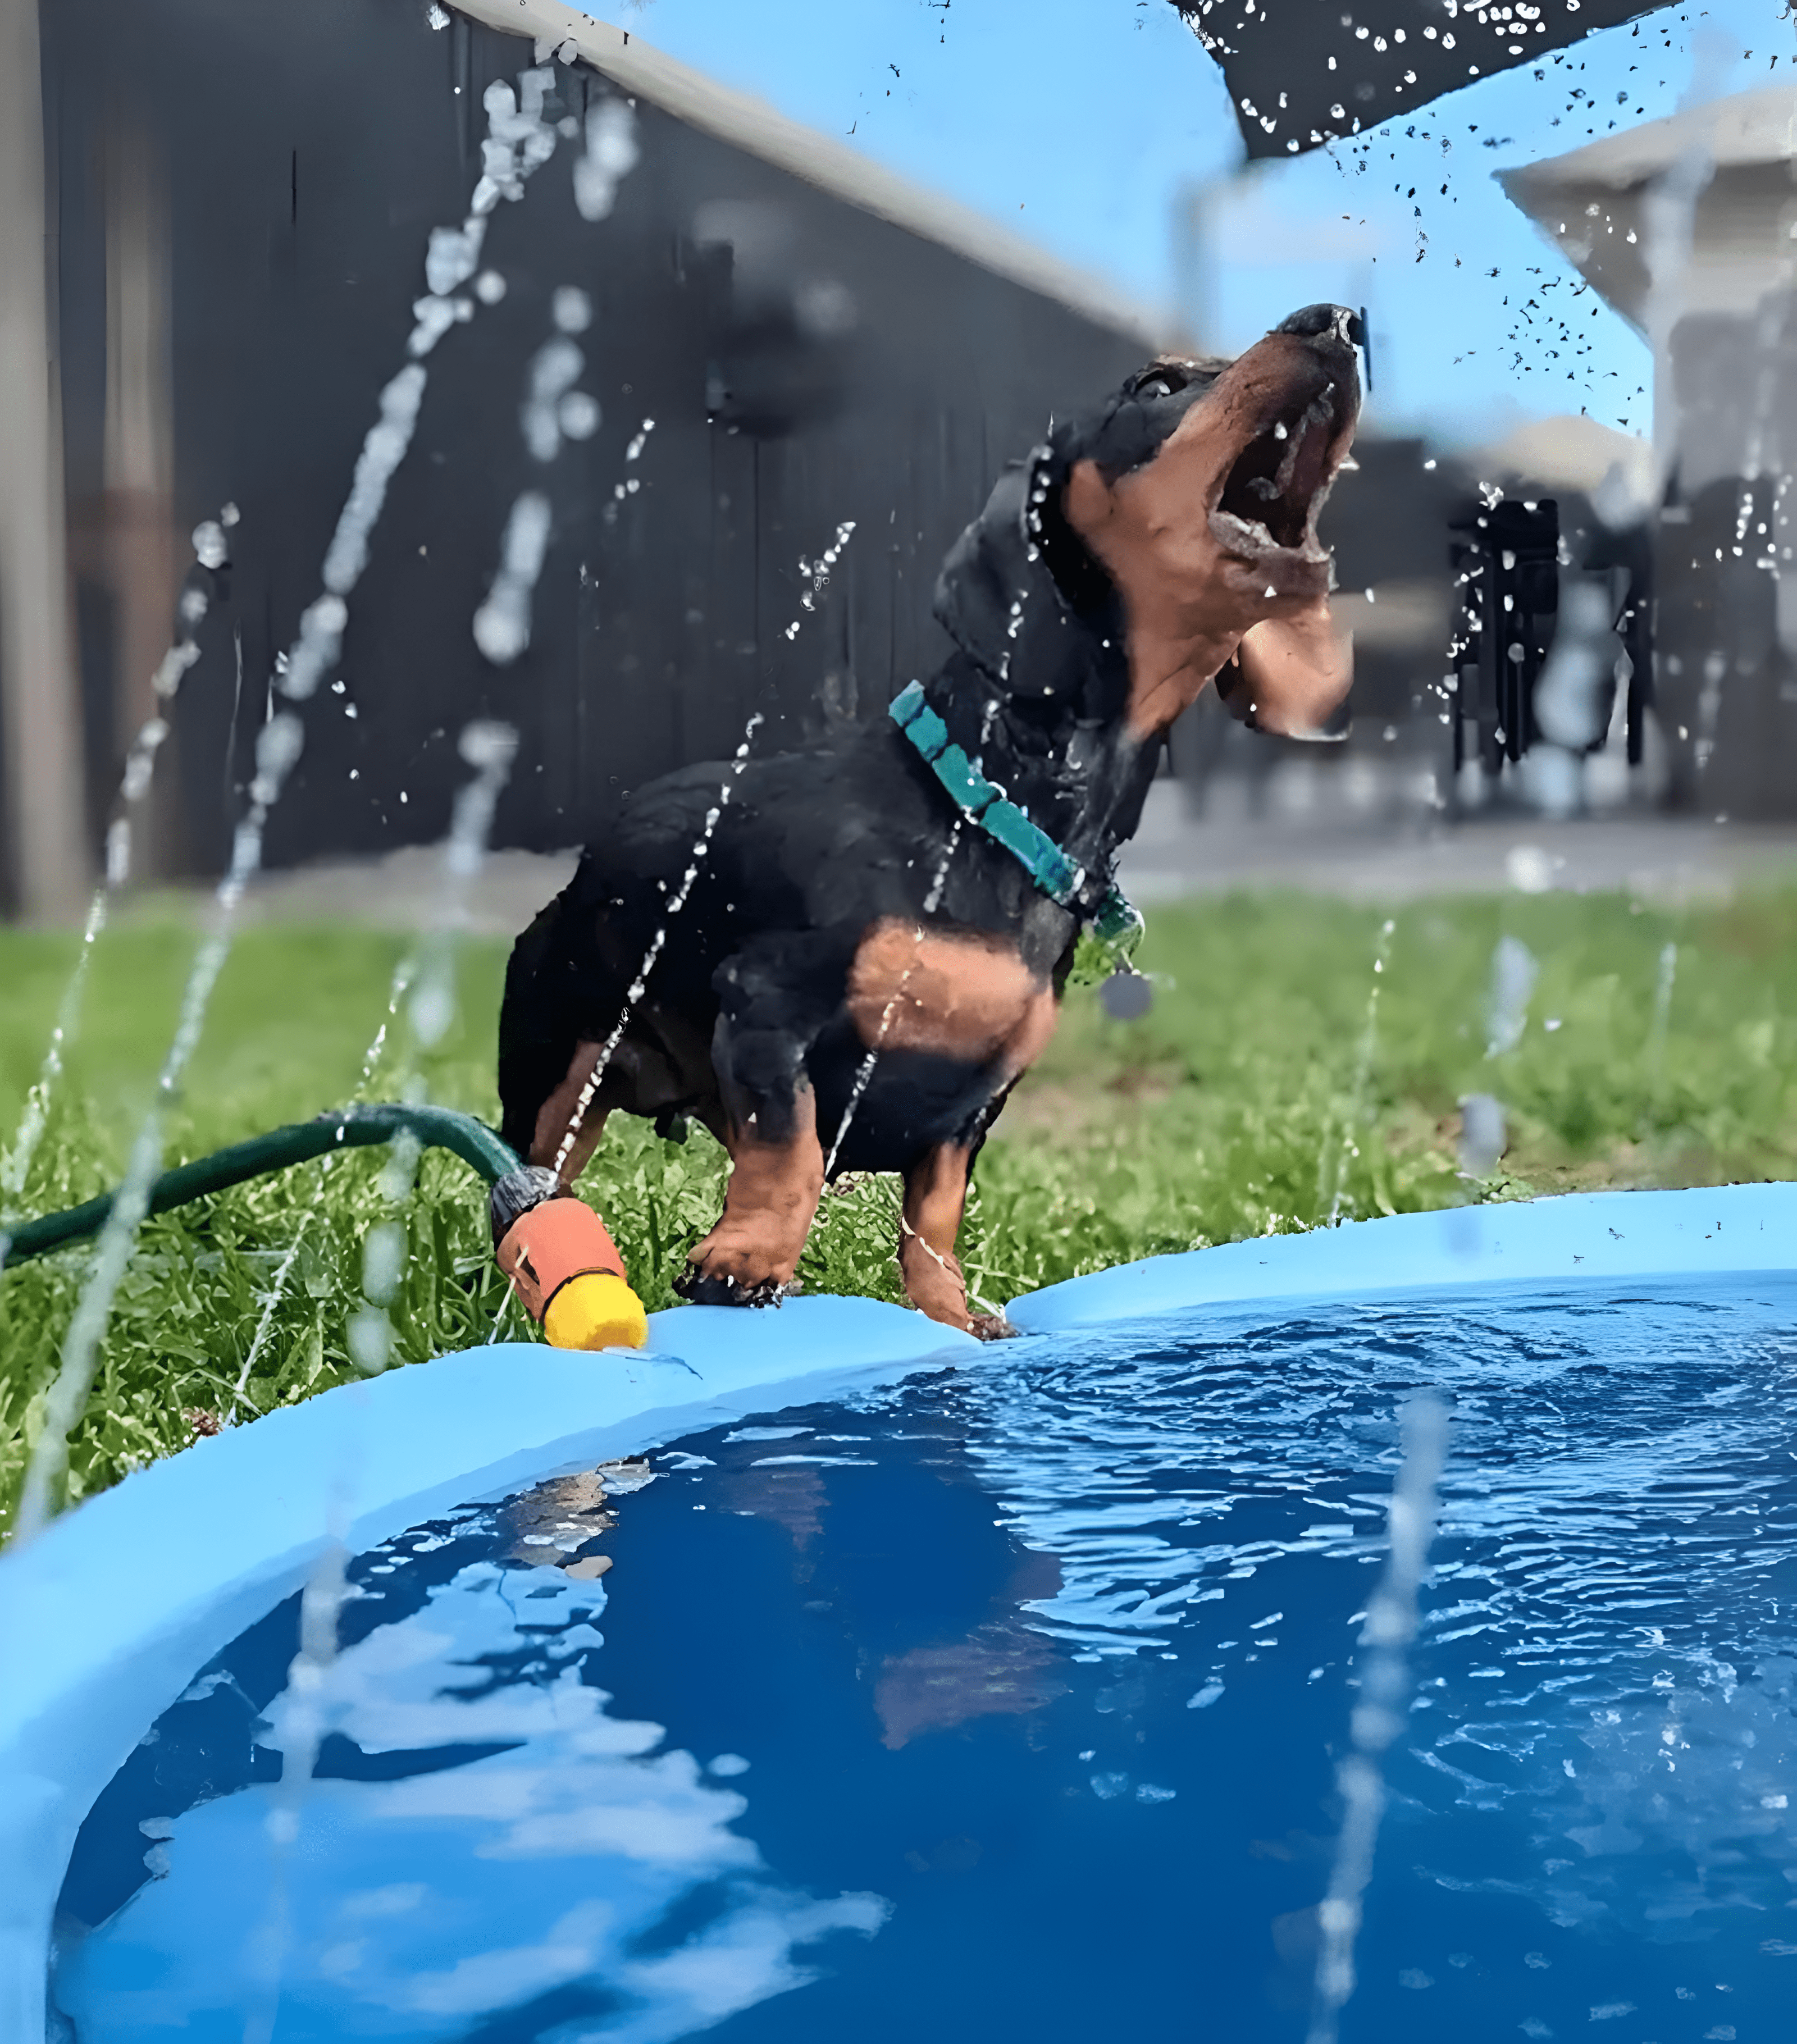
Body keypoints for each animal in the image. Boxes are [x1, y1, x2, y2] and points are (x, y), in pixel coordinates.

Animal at [492, 298, 1365, 1340]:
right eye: (1153, 385)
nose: (1340, 322)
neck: (983, 811)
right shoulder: (766, 1005)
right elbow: (787, 1150)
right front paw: (744, 1261)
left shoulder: (973, 1105)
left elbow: (935, 1217)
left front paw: (953, 1317)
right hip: (555, 1072)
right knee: (527, 1187)